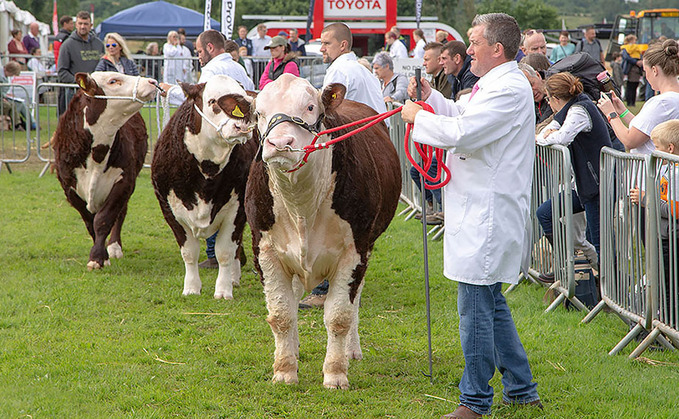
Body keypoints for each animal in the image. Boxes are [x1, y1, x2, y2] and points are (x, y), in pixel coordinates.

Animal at [53, 71, 158, 270]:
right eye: (113, 81)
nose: (153, 81)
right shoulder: (70, 189)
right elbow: (90, 222)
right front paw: (100, 256)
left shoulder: (124, 182)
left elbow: (104, 219)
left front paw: (98, 257)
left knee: (121, 213)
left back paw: (115, 247)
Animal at [152, 74, 258, 298]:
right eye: (212, 101)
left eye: (246, 103)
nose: (241, 128)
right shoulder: (169, 209)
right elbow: (189, 252)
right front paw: (191, 287)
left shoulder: (236, 210)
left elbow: (225, 251)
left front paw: (223, 290)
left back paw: (233, 278)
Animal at [246, 73, 402, 390]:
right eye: (259, 113)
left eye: (309, 107)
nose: (280, 142)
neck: (301, 203)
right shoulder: (265, 251)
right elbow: (281, 314)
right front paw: (284, 370)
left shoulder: (354, 253)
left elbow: (340, 316)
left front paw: (335, 373)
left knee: (355, 303)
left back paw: (352, 350)